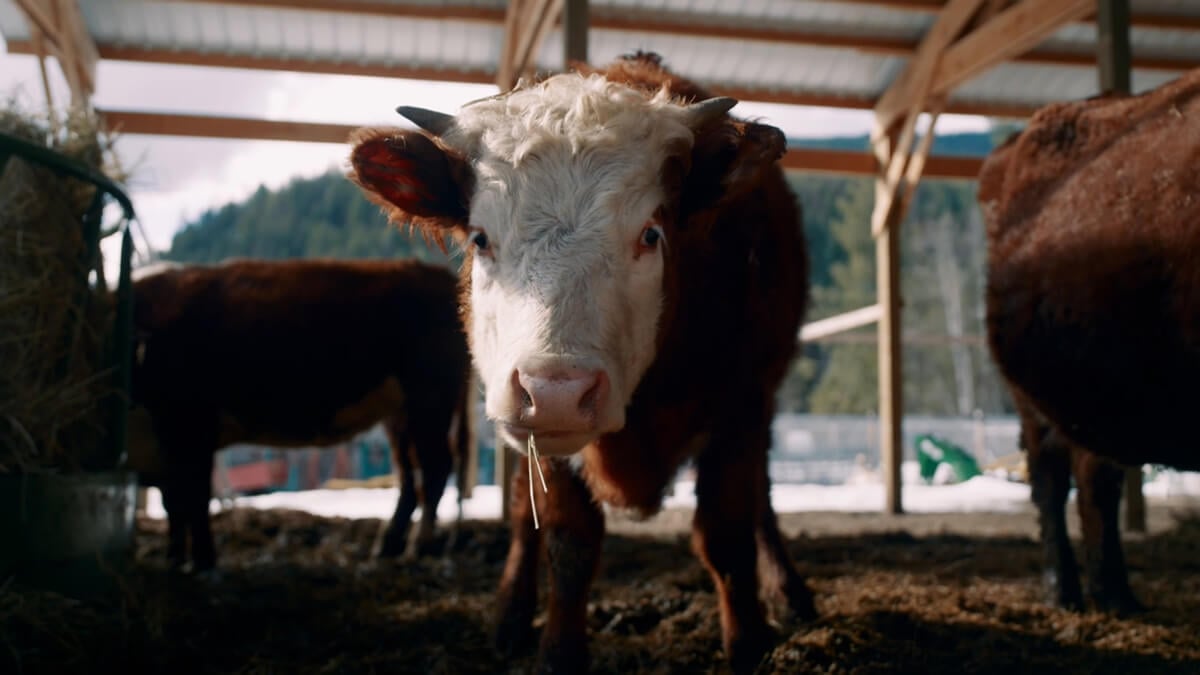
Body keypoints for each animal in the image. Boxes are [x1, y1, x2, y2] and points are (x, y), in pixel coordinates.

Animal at [125, 257, 476, 572]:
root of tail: (438, 273)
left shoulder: (190, 425)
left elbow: (194, 498)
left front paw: (200, 561)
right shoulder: (167, 444)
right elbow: (175, 504)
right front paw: (174, 558)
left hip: (429, 399)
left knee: (435, 466)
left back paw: (419, 545)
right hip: (400, 413)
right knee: (408, 474)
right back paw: (387, 545)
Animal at [347, 51, 816, 674]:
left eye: (651, 234)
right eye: (479, 239)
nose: (556, 392)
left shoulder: (742, 404)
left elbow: (727, 531)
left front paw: (748, 644)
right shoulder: (544, 437)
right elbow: (568, 541)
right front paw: (557, 651)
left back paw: (788, 591)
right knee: (522, 515)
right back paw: (510, 616)